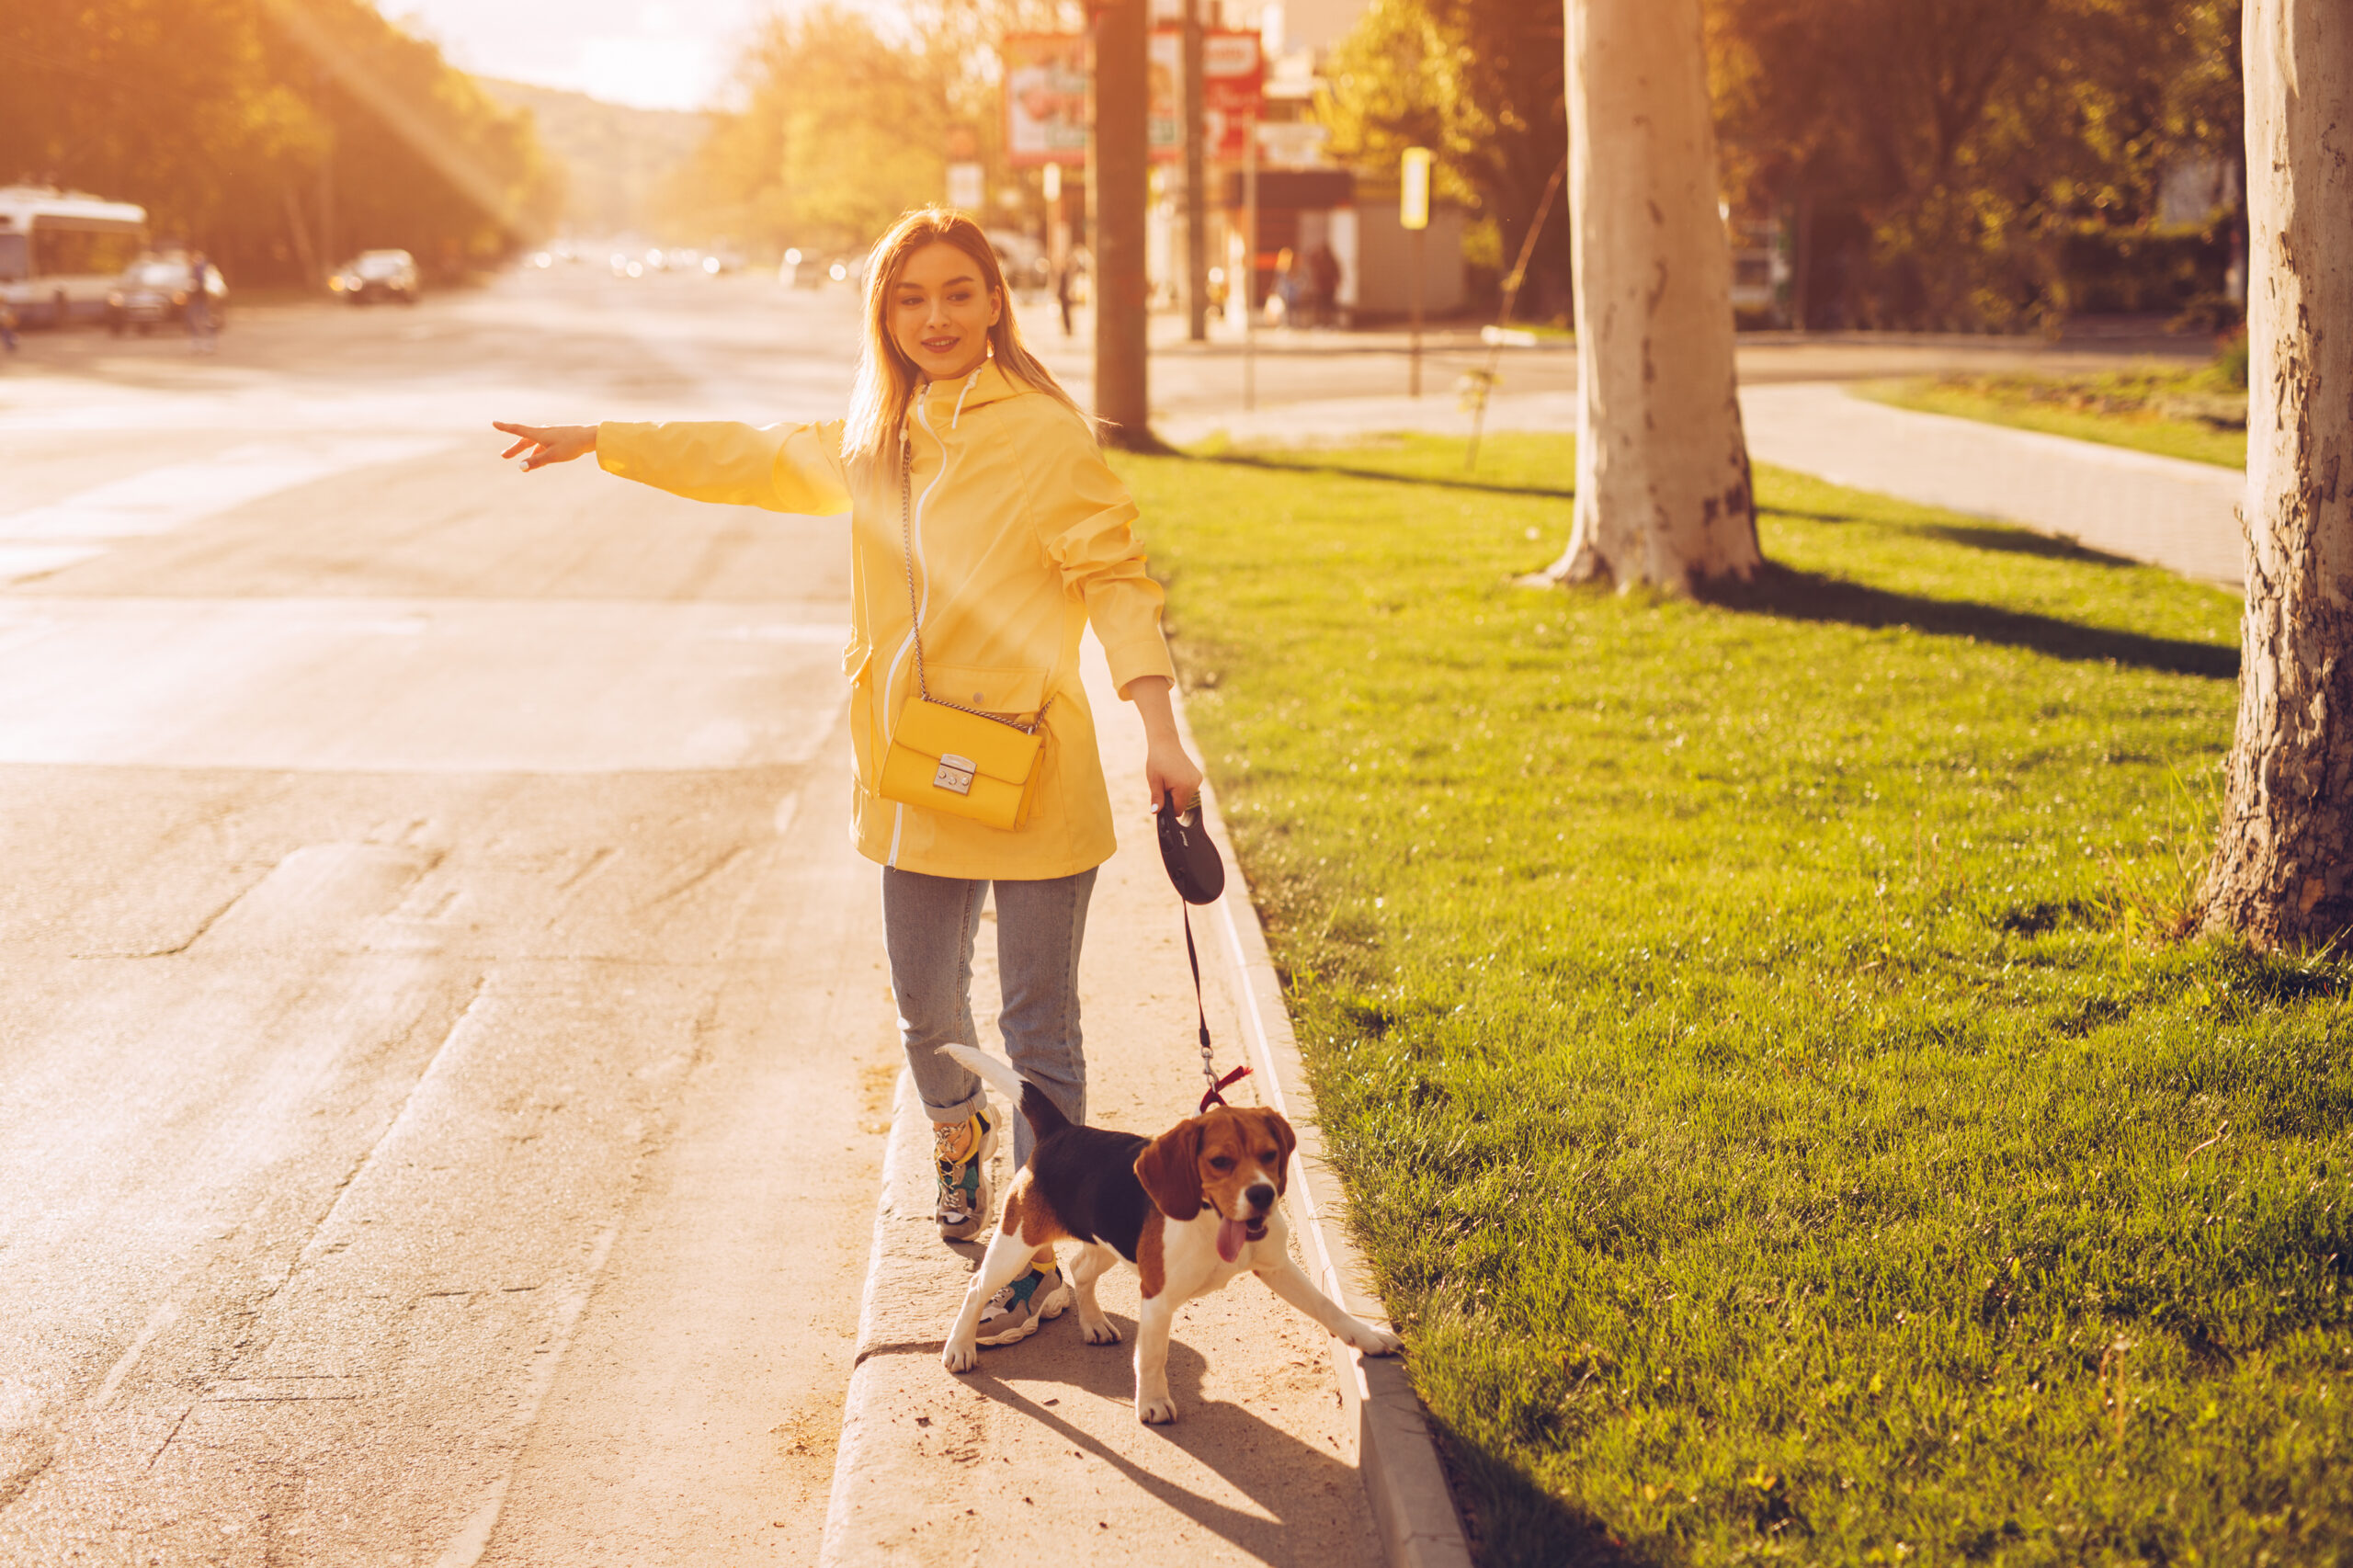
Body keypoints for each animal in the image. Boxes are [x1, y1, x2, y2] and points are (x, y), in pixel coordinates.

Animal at [936, 1045, 1402, 1422]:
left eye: (1270, 1155)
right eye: (1220, 1162)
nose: (1263, 1195)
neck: (1213, 1221)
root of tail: (1062, 1131)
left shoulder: (1277, 1267)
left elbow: (1328, 1308)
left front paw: (1368, 1339)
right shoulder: (1156, 1297)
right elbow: (1153, 1355)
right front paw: (1154, 1404)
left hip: (1108, 1241)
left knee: (1080, 1268)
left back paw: (1095, 1324)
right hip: (1017, 1242)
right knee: (977, 1288)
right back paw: (960, 1348)